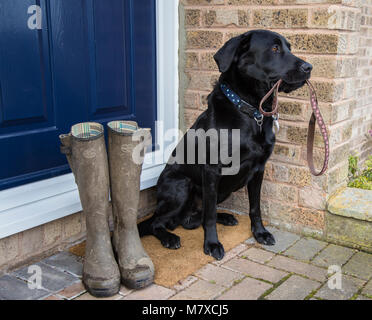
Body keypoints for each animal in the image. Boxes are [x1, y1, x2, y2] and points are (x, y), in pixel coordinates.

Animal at [138, 29, 312, 260]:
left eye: (289, 48)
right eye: (275, 48)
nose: (309, 67)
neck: (251, 113)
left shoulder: (259, 169)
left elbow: (255, 207)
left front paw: (260, 233)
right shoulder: (212, 170)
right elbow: (210, 215)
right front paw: (212, 244)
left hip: (224, 190)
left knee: (193, 218)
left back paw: (225, 217)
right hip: (181, 185)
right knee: (157, 223)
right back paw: (169, 237)